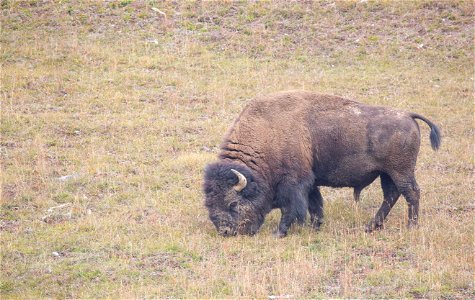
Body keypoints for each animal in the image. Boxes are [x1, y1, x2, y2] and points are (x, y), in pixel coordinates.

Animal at [205, 91, 442, 237]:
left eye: (232, 203)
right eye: (208, 203)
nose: (226, 232)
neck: (267, 135)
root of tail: (408, 115)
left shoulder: (294, 183)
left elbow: (291, 208)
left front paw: (280, 232)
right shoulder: (310, 182)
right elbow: (315, 204)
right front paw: (316, 226)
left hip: (401, 171)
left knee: (411, 193)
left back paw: (411, 226)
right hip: (387, 173)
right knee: (391, 195)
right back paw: (370, 227)